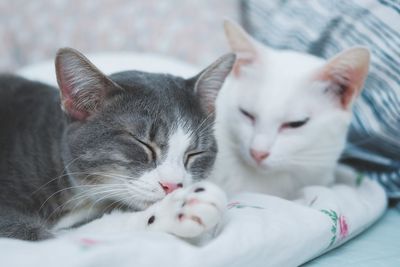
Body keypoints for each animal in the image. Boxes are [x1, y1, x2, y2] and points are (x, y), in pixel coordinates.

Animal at [0, 47, 234, 241]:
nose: (173, 186)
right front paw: (175, 210)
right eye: (142, 143)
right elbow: (57, 235)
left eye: (195, 153)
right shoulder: (13, 220)